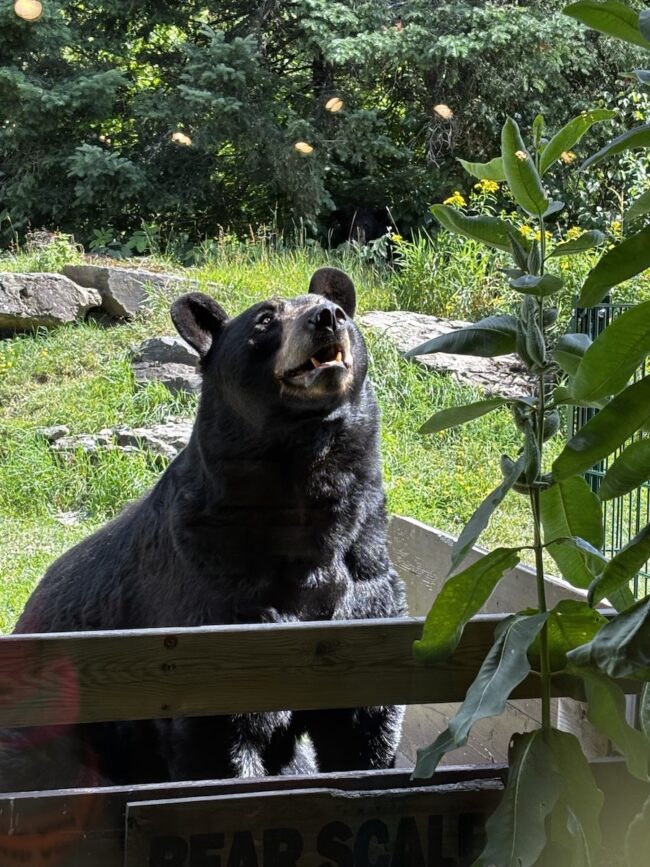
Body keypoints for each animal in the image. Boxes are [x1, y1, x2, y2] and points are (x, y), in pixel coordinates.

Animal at [4, 267, 407, 790]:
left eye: (336, 308)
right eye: (265, 319)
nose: (327, 317)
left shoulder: (366, 581)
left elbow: (365, 722)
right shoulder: (212, 587)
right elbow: (218, 730)